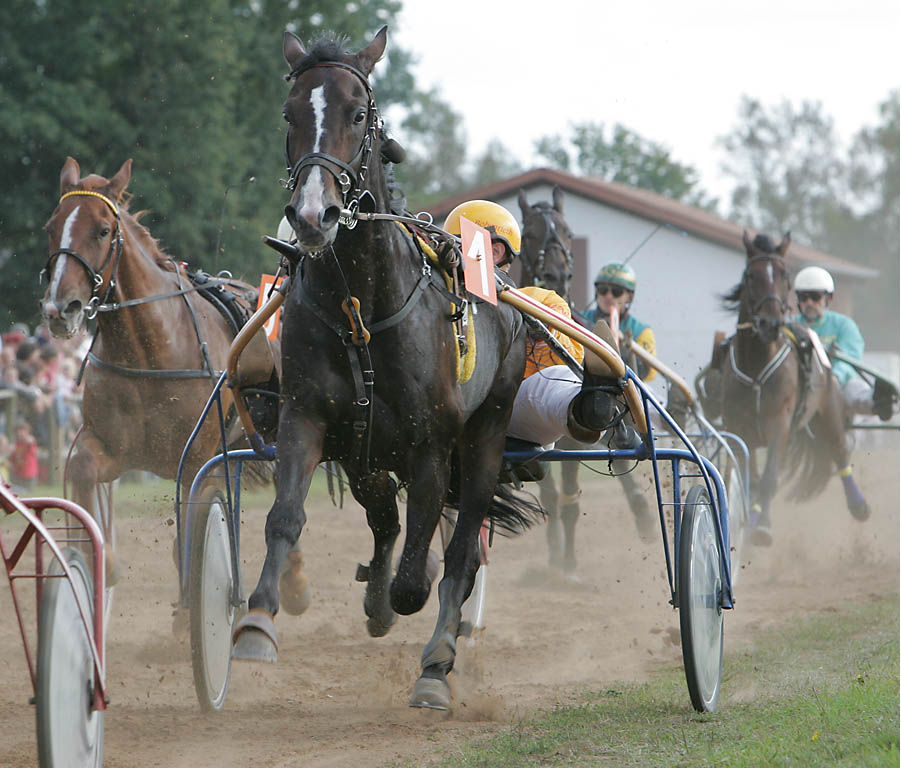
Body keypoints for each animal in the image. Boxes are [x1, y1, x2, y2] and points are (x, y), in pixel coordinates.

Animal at [716, 231, 864, 544]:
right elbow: (748, 474)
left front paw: (761, 526)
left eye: (785, 277)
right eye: (751, 275)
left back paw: (859, 505)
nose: (770, 323)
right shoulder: (737, 425)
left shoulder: (778, 423)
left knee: (839, 450)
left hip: (829, 410)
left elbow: (769, 477)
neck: (756, 364)